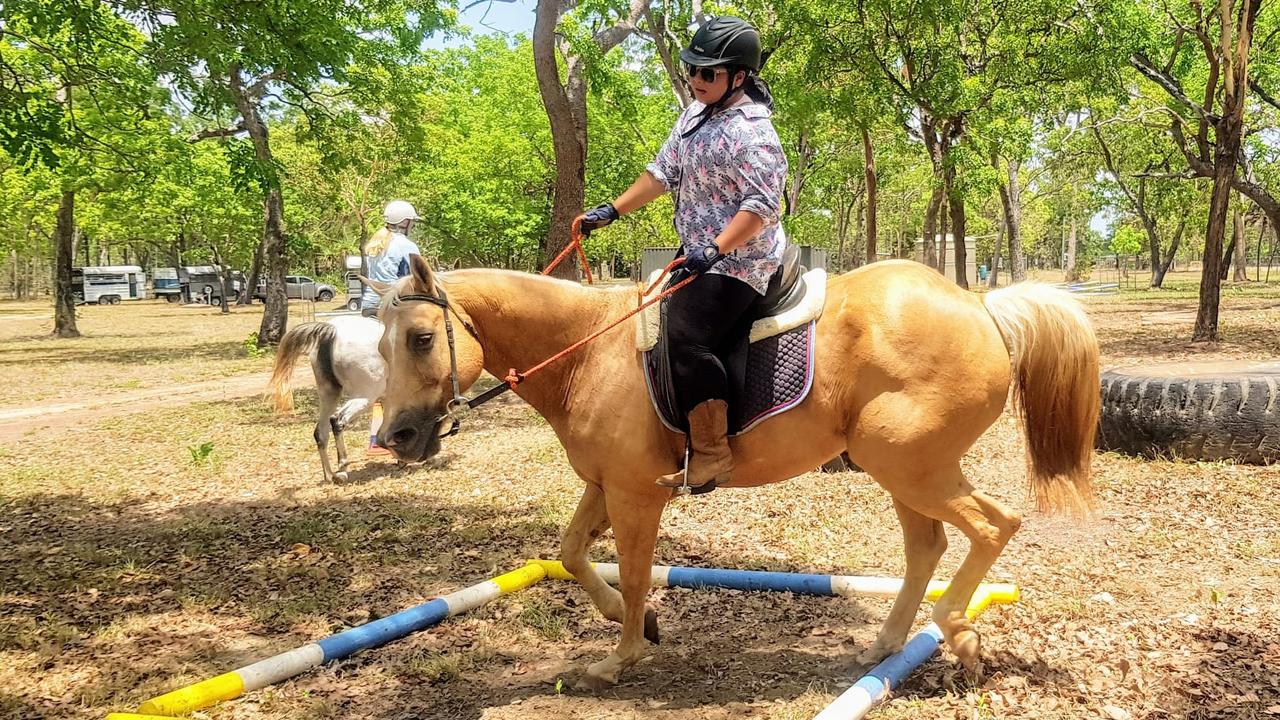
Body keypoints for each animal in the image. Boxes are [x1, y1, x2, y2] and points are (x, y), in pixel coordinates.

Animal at [268, 315, 384, 479]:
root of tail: (331, 329)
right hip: (364, 397)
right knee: (337, 421)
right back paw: (342, 463)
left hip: (329, 395)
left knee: (320, 432)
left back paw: (330, 475)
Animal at [366, 254, 1095, 686]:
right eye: (380, 345)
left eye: (422, 339)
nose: (394, 436)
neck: (587, 350)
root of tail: (982, 307)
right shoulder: (605, 484)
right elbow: (572, 553)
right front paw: (636, 624)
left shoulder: (635, 494)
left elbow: (634, 573)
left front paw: (622, 655)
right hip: (906, 471)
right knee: (928, 547)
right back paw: (887, 644)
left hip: (913, 466)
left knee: (994, 525)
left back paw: (957, 633)